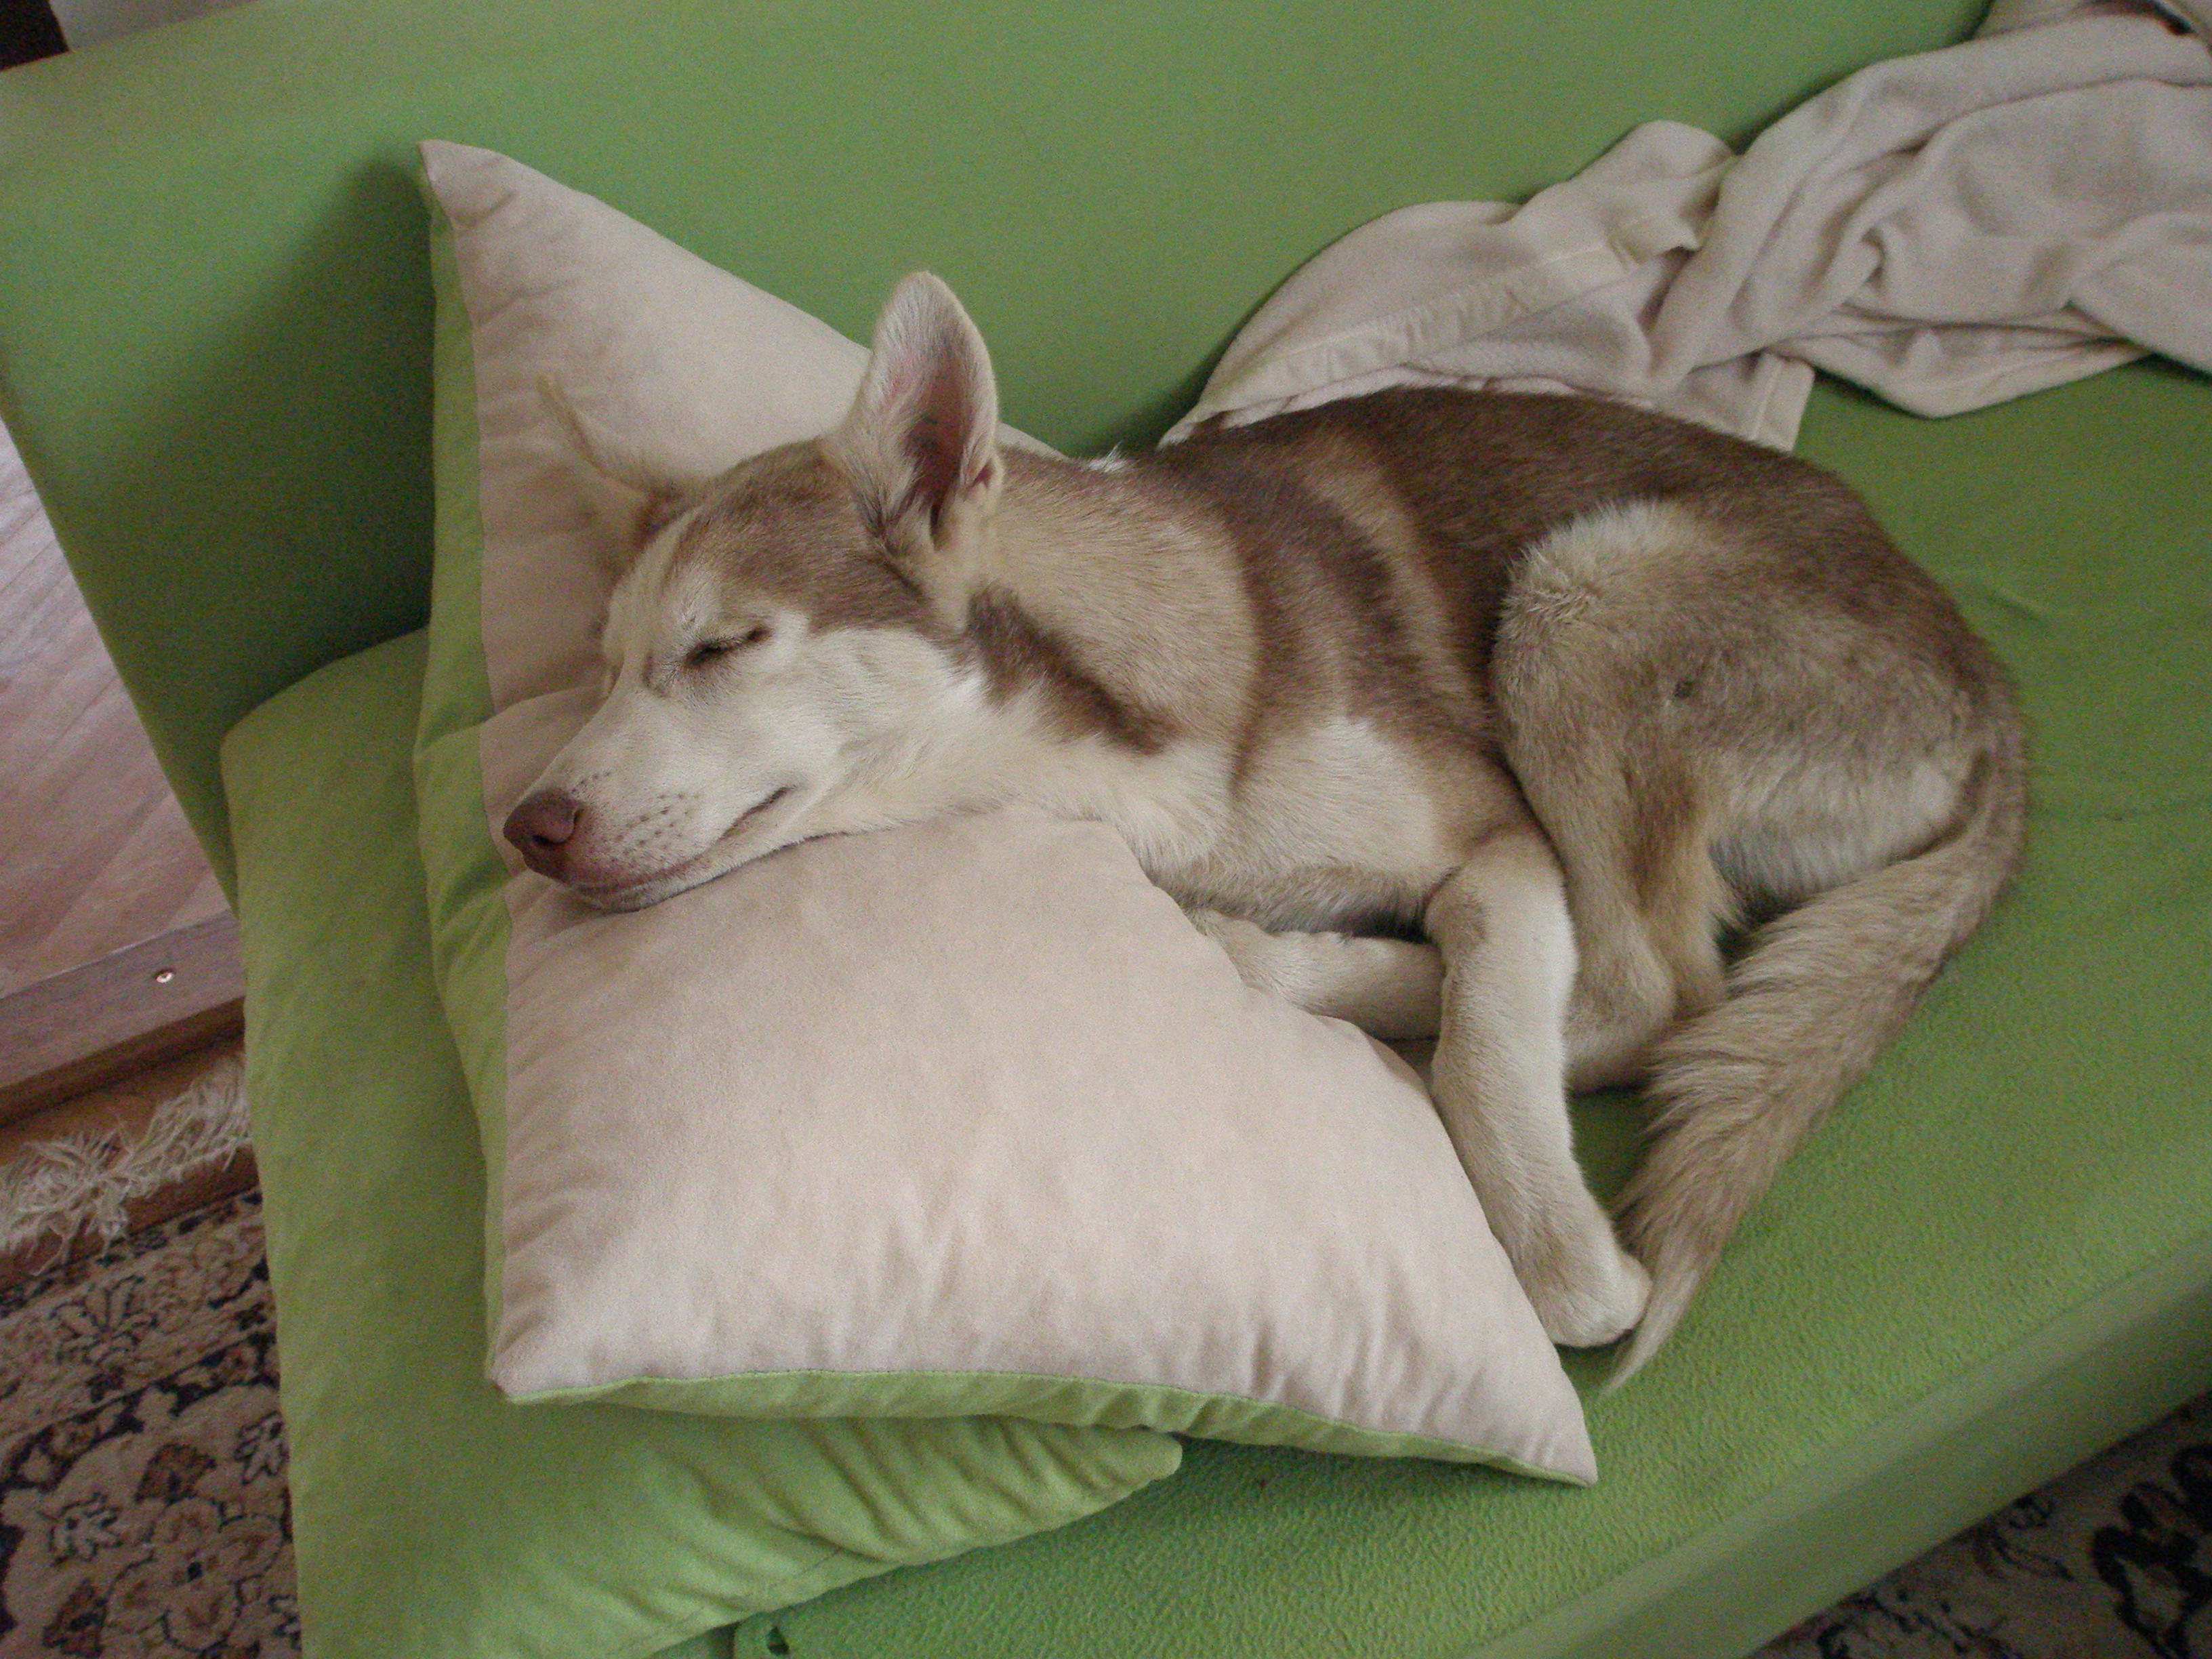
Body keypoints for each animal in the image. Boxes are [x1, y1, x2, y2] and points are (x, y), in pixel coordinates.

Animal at [505, 272, 2027, 1378]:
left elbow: (1494, 1039)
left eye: (721, 646)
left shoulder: (1496, 835)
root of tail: (1988, 682)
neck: (1113, 751)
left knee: (1656, 994)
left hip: (1586, 586)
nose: (529, 825)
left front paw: (1559, 1258)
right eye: (604, 667)